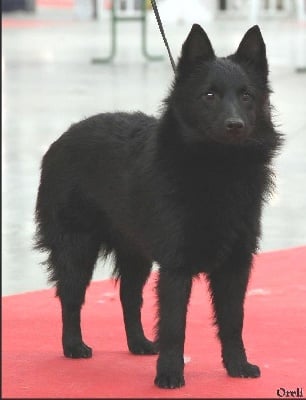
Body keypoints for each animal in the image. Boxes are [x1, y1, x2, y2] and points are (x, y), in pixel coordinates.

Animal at [34, 24, 282, 388]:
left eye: (247, 95)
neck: (217, 170)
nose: (235, 125)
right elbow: (174, 325)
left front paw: (237, 366)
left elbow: (233, 320)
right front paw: (169, 374)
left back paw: (138, 343)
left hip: (135, 252)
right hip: (76, 248)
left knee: (129, 297)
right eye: (209, 95)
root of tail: (62, 138)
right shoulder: (176, 266)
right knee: (71, 297)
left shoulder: (236, 264)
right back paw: (74, 346)